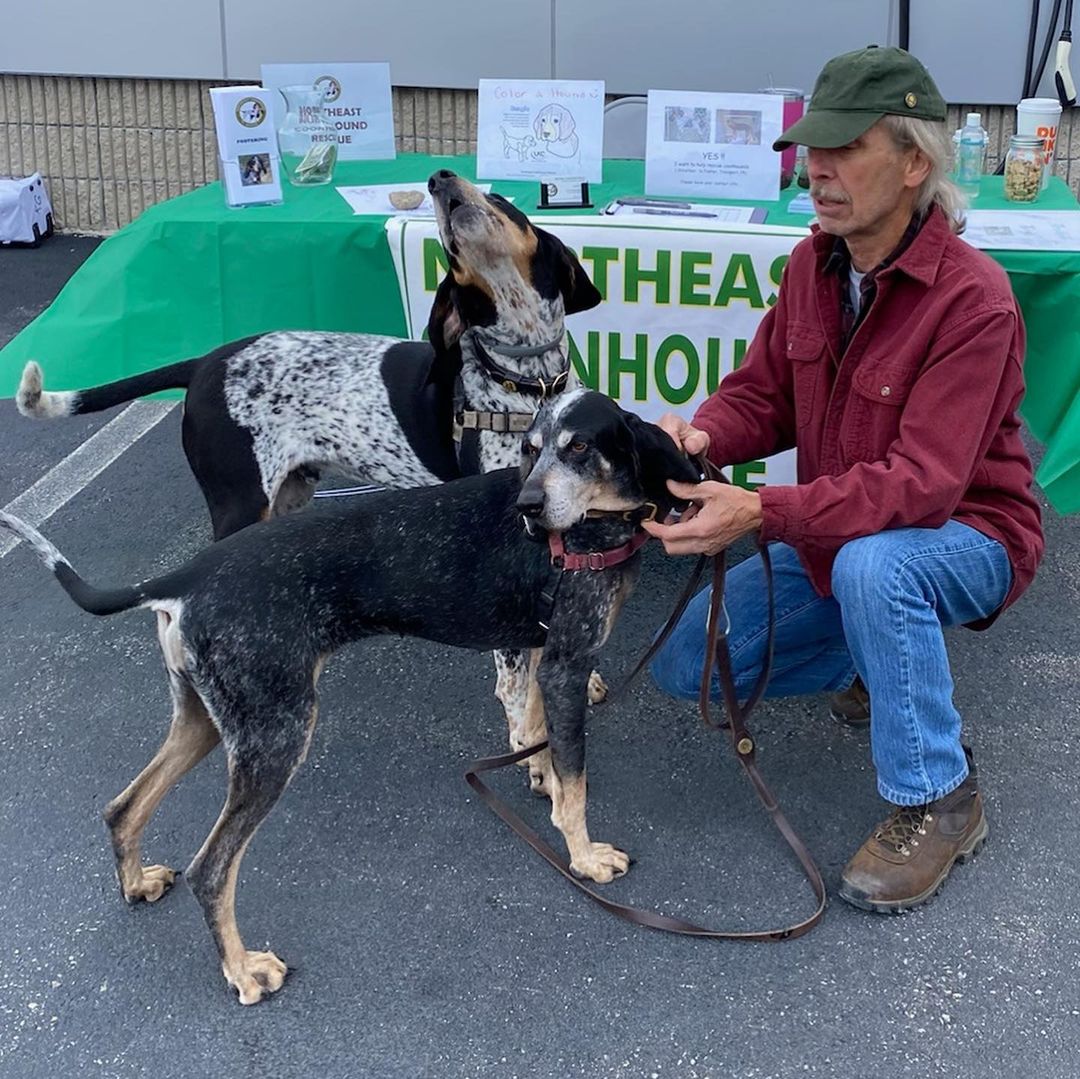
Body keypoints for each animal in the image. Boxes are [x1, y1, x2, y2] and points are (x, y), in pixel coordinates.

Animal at [0, 393, 699, 1006]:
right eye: (531, 449)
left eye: (578, 445)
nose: (528, 507)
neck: (588, 529)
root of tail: (188, 575)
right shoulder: (565, 667)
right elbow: (572, 781)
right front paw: (582, 857)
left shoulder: (537, 653)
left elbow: (535, 737)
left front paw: (540, 779)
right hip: (276, 735)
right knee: (211, 869)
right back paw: (243, 972)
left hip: (210, 721)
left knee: (122, 808)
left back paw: (137, 883)